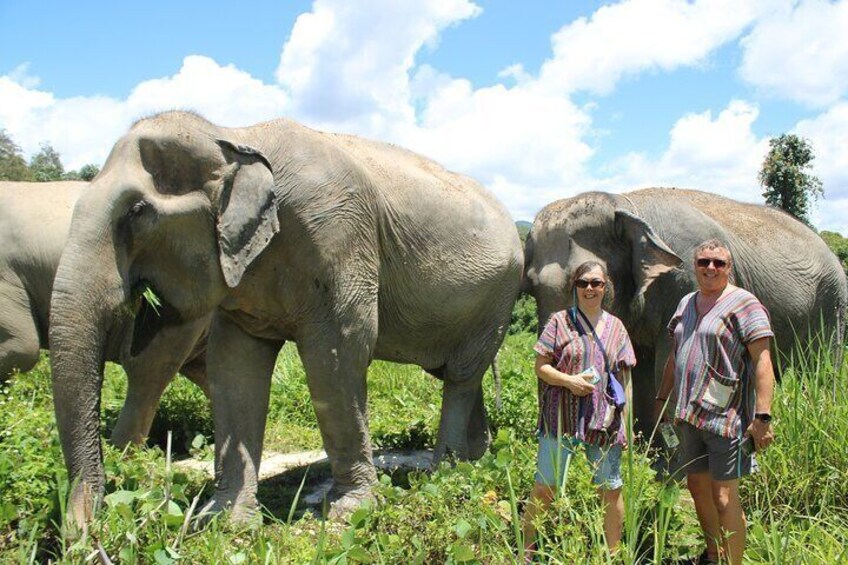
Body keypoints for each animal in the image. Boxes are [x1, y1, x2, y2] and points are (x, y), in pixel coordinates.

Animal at [48, 110, 524, 524]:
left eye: (136, 212)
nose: (88, 531)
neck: (234, 134)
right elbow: (234, 365)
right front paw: (226, 522)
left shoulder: (337, 235)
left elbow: (337, 354)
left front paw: (349, 512)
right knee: (457, 373)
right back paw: (476, 457)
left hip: (499, 294)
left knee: (460, 375)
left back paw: (448, 471)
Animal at [524, 186, 848, 432]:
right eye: (530, 287)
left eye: (582, 282)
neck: (624, 202)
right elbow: (640, 374)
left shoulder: (685, 280)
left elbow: (670, 370)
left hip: (833, 303)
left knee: (821, 372)